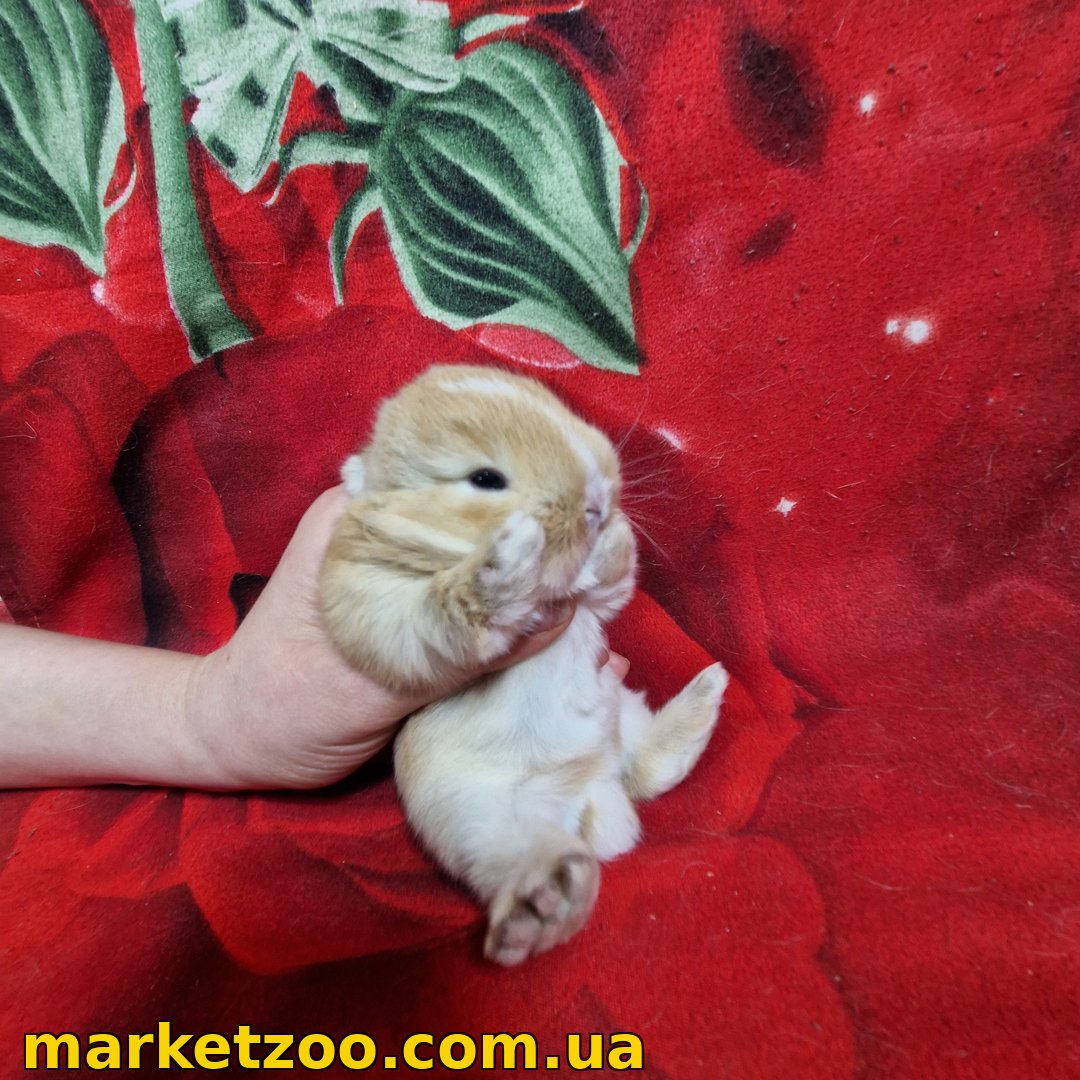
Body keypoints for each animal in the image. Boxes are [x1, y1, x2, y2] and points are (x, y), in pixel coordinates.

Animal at [320, 364, 728, 965]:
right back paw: (545, 903)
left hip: (621, 712)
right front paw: (511, 560)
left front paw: (610, 539)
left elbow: (612, 584)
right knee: (516, 854)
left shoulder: (597, 605)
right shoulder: (376, 597)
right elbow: (446, 608)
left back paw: (708, 689)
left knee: (647, 767)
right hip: (474, 814)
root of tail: (591, 795)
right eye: (485, 478)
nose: (597, 499)